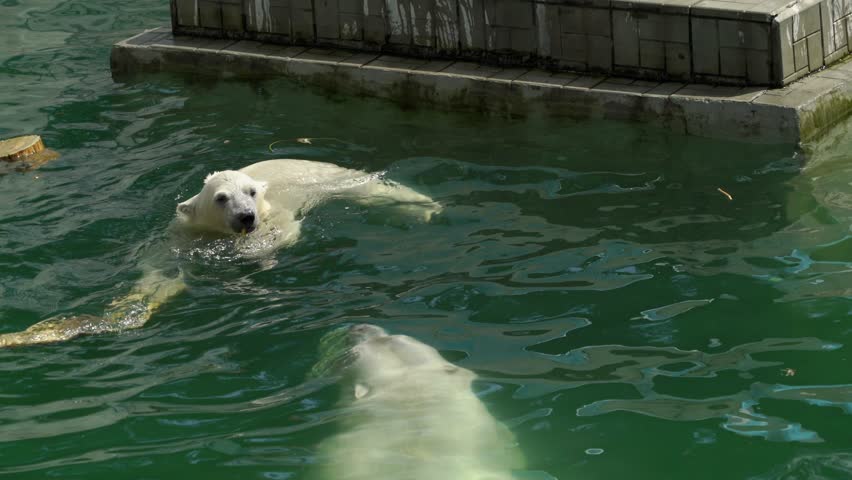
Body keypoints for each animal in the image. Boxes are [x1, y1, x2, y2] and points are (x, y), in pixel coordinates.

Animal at [0, 160, 439, 347]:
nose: (246, 217)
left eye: (252, 192)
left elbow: (283, 234)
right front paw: (122, 311)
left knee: (376, 189)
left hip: (330, 179)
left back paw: (426, 207)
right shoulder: (181, 237)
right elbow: (156, 275)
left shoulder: (281, 211)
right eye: (221, 197)